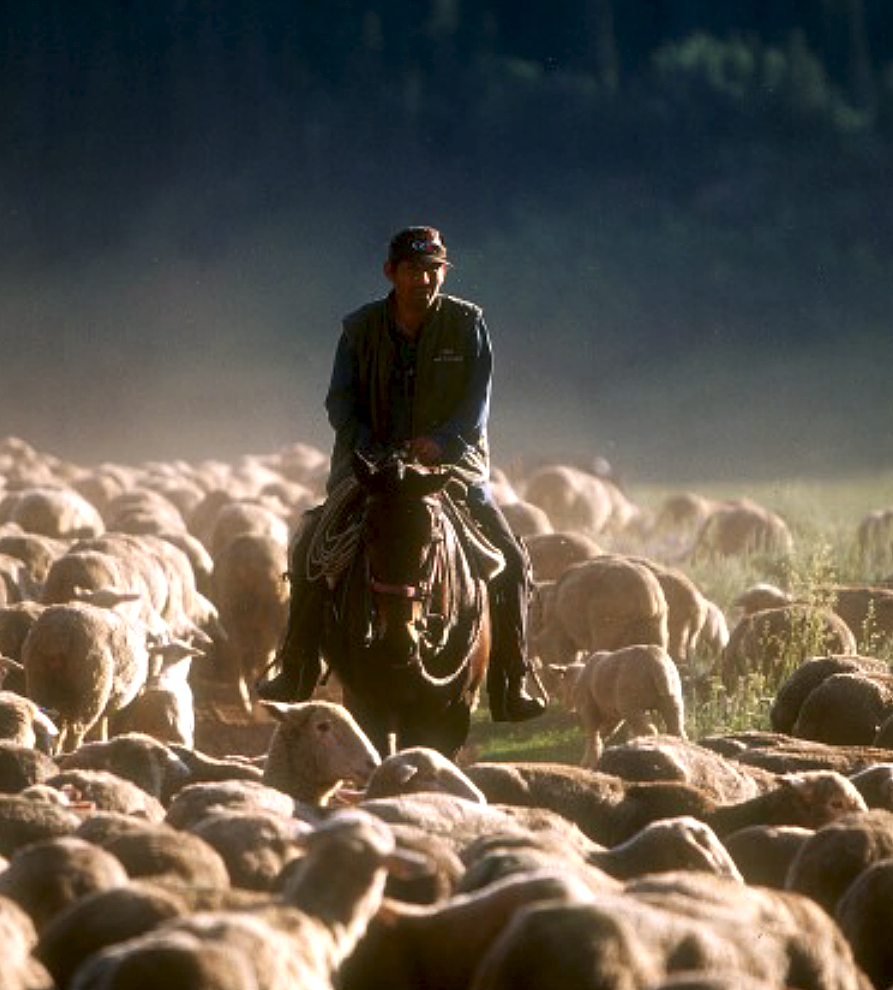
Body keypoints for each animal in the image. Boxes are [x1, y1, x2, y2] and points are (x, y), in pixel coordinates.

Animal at [552, 648, 684, 772]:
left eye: (561, 686)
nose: (565, 707)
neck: (576, 680)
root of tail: (655, 661)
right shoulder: (612, 713)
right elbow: (604, 733)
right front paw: (596, 759)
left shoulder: (588, 708)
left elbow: (592, 734)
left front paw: (587, 764)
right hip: (672, 692)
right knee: (675, 724)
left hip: (631, 695)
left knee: (648, 728)